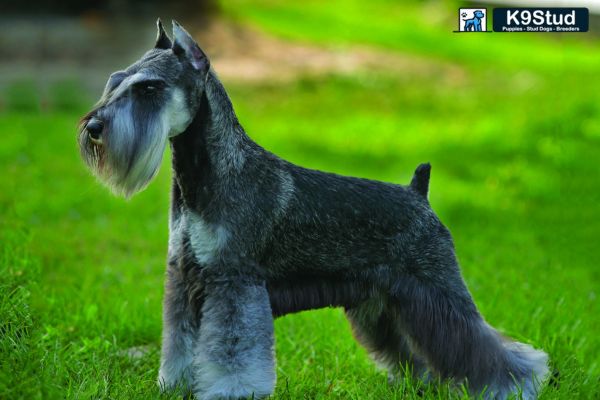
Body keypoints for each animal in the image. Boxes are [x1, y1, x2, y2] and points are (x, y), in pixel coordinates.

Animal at [78, 19, 548, 400]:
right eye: (116, 80)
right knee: (413, 349)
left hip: (435, 290)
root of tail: (419, 194)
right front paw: (173, 385)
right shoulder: (185, 279)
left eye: (149, 88)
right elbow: (181, 342)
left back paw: (516, 383)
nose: (94, 128)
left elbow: (232, 350)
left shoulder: (234, 282)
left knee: (477, 342)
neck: (206, 175)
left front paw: (231, 391)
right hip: (383, 303)